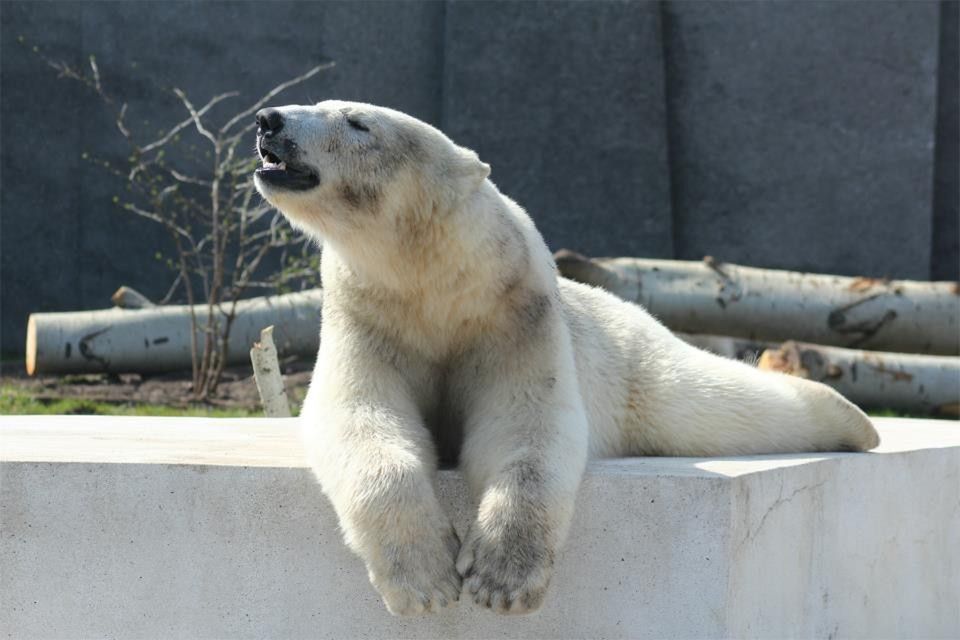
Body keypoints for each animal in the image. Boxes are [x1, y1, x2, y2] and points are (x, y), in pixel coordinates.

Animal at [251, 102, 880, 616]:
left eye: (357, 121)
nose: (268, 120)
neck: (436, 286)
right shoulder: (369, 319)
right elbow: (361, 416)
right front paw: (426, 581)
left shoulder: (516, 317)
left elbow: (527, 425)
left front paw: (500, 578)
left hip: (629, 358)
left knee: (706, 403)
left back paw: (856, 421)